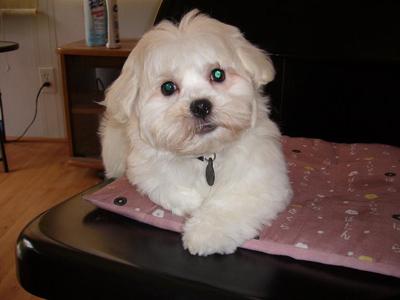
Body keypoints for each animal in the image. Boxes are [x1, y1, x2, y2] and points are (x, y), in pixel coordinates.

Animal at [99, 10, 292, 256]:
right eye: (168, 87)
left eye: (218, 74)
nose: (200, 106)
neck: (206, 155)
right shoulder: (143, 168)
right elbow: (164, 185)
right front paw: (193, 204)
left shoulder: (262, 178)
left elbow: (233, 202)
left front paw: (205, 232)